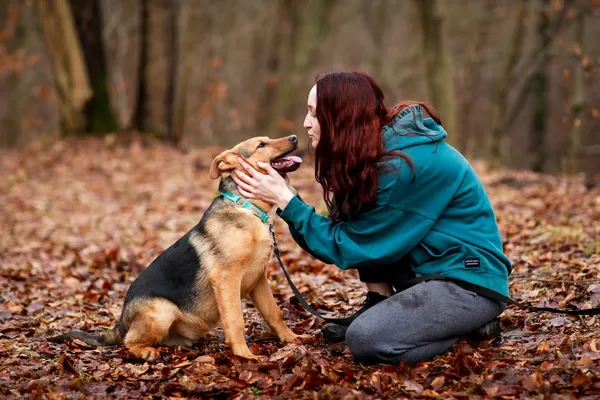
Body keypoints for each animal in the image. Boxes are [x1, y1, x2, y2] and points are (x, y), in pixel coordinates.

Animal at [50, 136, 304, 360]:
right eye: (261, 144)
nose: (295, 137)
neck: (248, 208)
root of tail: (122, 321)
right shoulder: (226, 278)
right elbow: (236, 321)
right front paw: (244, 355)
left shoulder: (259, 278)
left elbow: (274, 313)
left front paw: (291, 339)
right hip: (162, 311)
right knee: (129, 341)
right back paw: (146, 352)